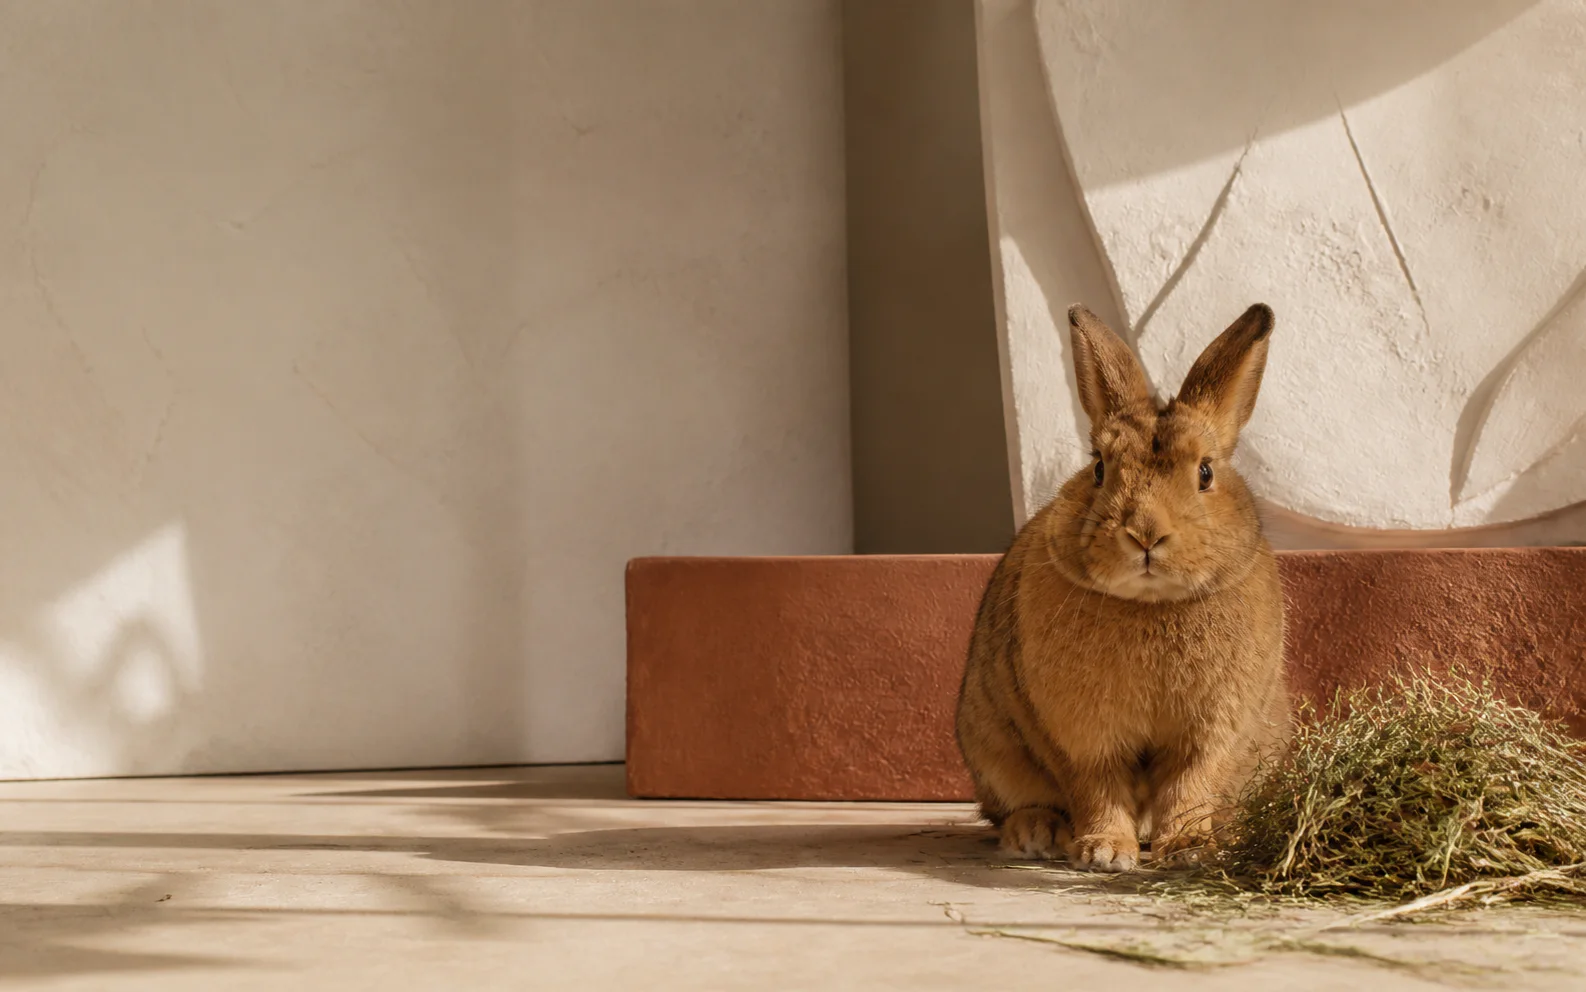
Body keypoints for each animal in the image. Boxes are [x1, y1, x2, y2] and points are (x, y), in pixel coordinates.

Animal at [955, 302, 1290, 872]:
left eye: (1205, 472)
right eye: (1098, 468)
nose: (1145, 533)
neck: (1151, 604)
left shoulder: (1212, 734)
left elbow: (1190, 786)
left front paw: (1189, 849)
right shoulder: (1080, 739)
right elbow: (1097, 788)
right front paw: (1106, 853)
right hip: (989, 745)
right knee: (1010, 808)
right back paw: (1037, 833)